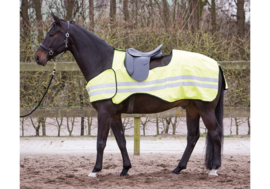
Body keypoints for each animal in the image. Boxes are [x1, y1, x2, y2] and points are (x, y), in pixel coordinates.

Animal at [34, 12, 227, 177]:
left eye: (52, 33)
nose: (37, 57)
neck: (102, 63)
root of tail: (216, 65)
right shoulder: (114, 114)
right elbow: (121, 141)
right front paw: (125, 169)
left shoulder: (104, 113)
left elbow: (100, 142)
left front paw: (95, 170)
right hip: (192, 108)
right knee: (193, 137)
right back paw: (178, 168)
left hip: (205, 108)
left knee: (215, 133)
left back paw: (214, 168)